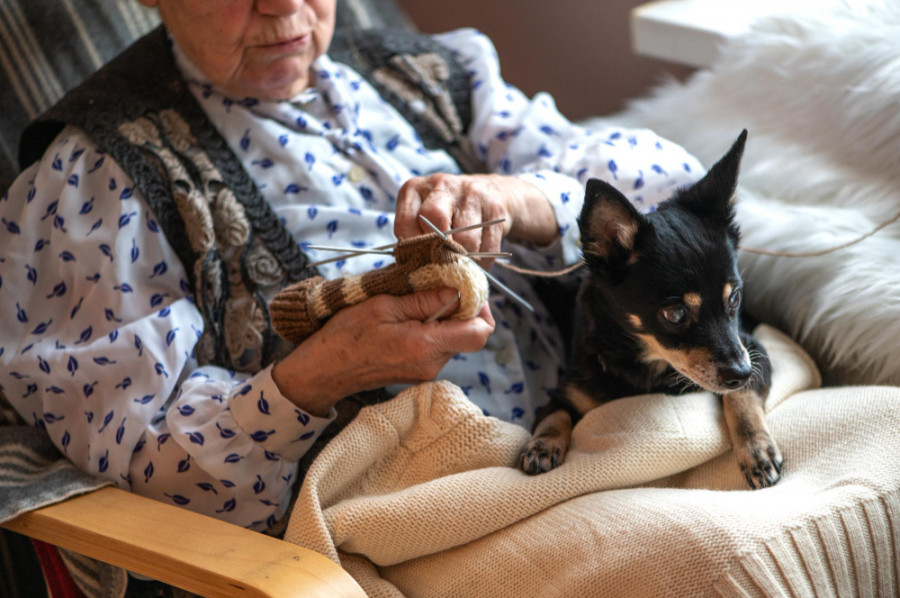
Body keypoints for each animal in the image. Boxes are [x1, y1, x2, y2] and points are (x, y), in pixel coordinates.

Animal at [520, 131, 780, 492]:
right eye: (675, 314)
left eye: (734, 298)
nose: (740, 371)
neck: (650, 365)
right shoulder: (565, 394)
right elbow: (553, 415)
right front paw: (542, 445)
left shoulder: (754, 351)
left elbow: (741, 398)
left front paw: (757, 449)